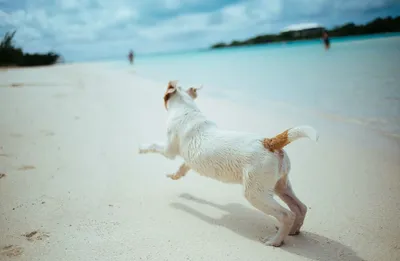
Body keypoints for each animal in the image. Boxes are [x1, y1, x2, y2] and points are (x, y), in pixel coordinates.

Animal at [139, 80, 320, 246]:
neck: (186, 109)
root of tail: (269, 142)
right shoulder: (189, 159)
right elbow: (183, 167)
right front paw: (174, 175)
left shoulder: (168, 150)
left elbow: (154, 146)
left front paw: (141, 148)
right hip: (280, 186)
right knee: (300, 208)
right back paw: (293, 231)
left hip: (255, 193)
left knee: (286, 215)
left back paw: (275, 241)